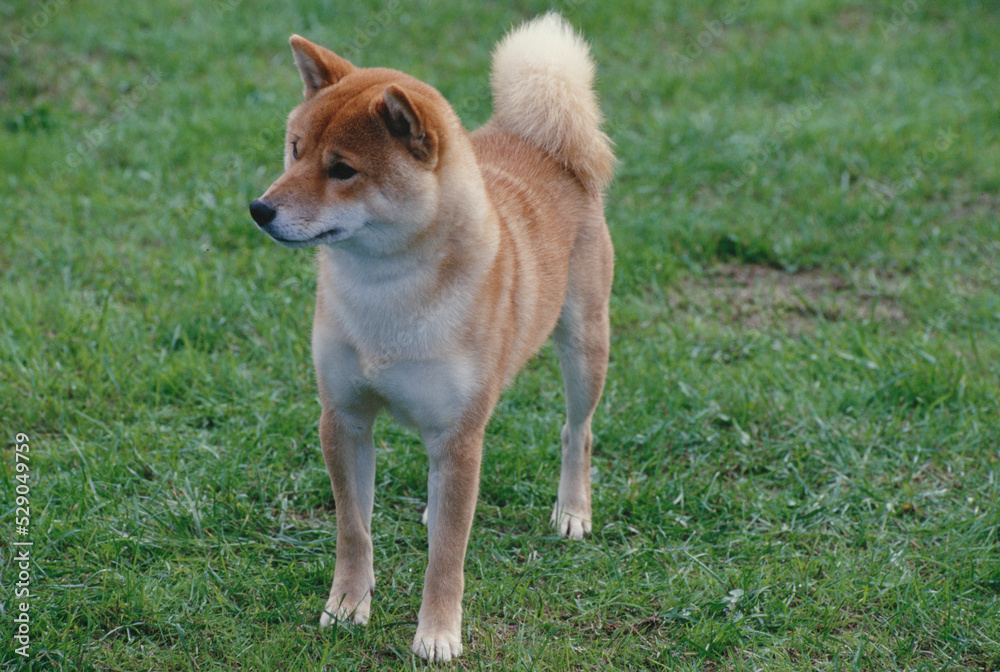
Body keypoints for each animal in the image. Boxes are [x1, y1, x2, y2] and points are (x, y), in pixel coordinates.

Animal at [248, 11, 608, 660]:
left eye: (342, 169)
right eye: (294, 150)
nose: (259, 209)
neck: (386, 292)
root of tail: (536, 138)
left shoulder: (460, 435)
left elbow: (447, 557)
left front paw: (438, 633)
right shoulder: (343, 417)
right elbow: (354, 529)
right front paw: (347, 606)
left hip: (585, 346)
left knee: (577, 432)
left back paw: (572, 510)